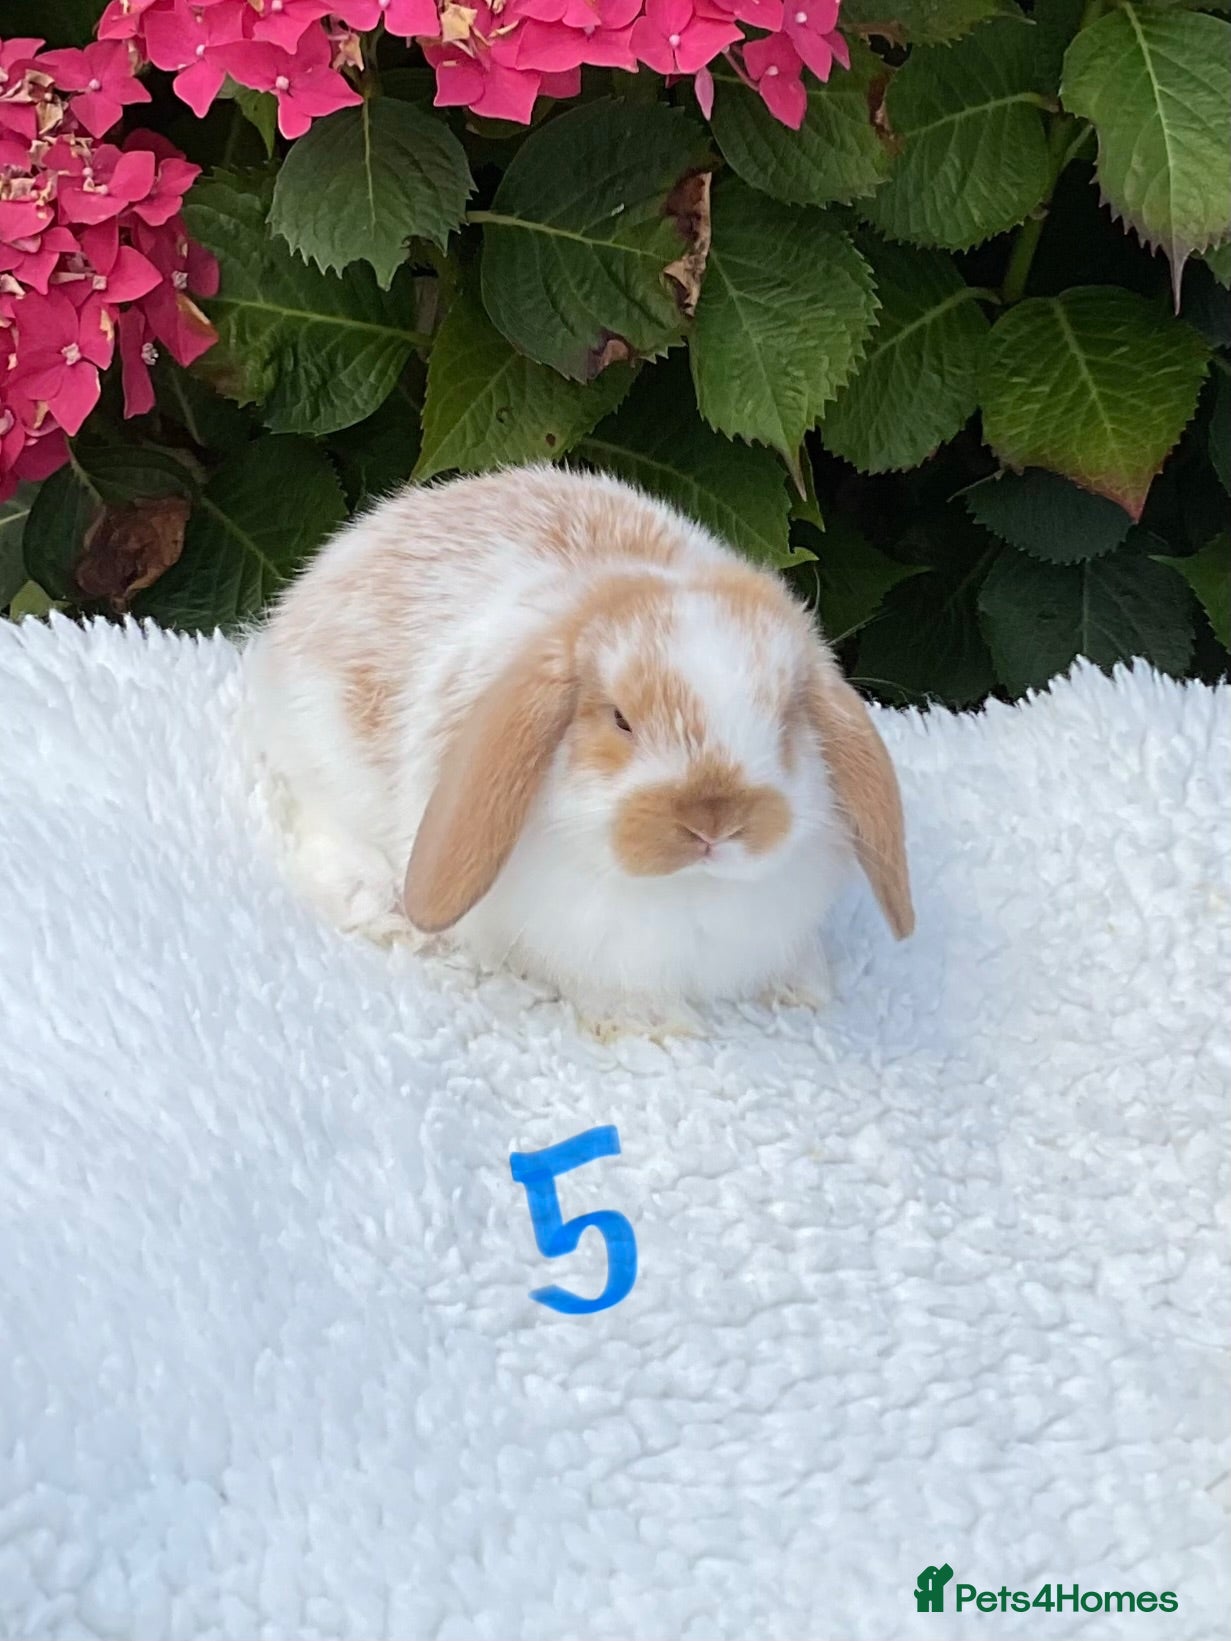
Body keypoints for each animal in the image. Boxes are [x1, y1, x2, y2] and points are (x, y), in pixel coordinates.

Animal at [245, 464, 914, 1037]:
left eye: (784, 722)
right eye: (620, 719)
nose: (712, 821)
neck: (688, 891)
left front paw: (805, 990)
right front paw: (655, 1027)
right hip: (325, 757)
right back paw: (385, 913)